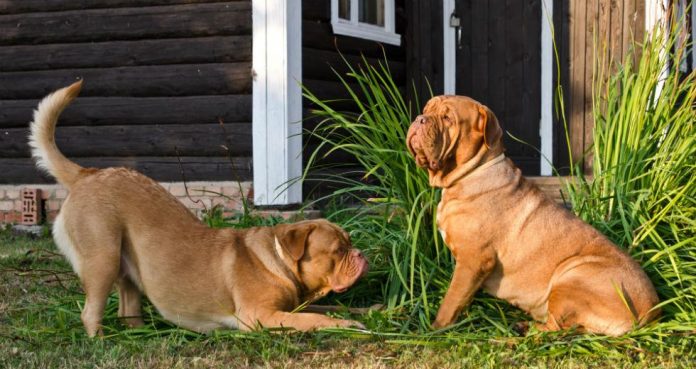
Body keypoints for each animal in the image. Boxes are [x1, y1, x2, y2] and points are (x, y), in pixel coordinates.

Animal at [29, 81, 368, 336]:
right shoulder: (262, 316)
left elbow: (328, 308)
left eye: (350, 243)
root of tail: (87, 174)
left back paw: (140, 334)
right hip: (103, 259)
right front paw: (347, 324)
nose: (360, 254)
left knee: (128, 308)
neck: (279, 260)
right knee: (90, 312)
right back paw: (102, 339)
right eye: (338, 251)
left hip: (126, 268)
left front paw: (369, 310)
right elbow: (315, 319)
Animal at [406, 95, 660, 336]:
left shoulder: (473, 260)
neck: (470, 174)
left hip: (571, 276)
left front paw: (435, 328)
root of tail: (650, 314)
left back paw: (522, 330)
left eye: (448, 118)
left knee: (557, 328)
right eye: (427, 109)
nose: (420, 118)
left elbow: (451, 299)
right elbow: (462, 298)